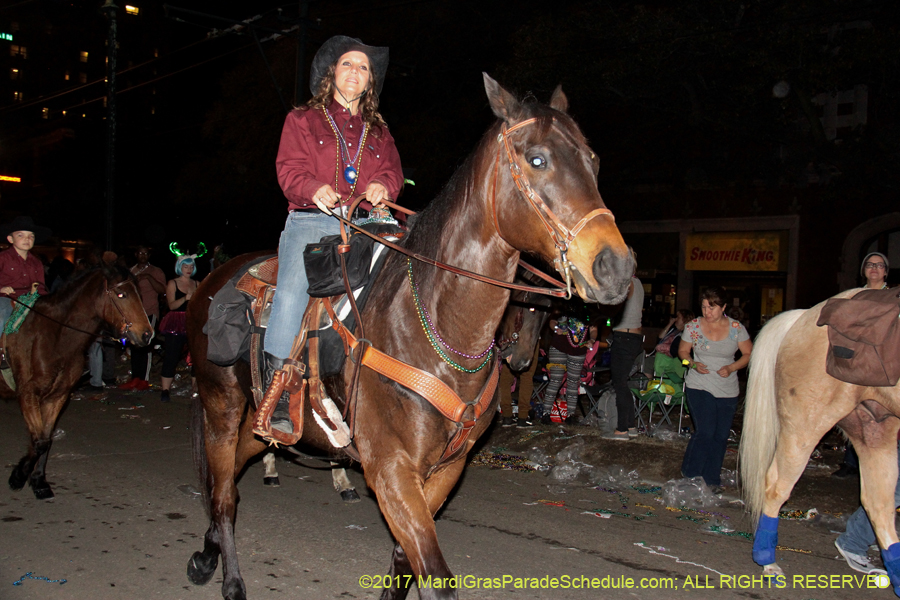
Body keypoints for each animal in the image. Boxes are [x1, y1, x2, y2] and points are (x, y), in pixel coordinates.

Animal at [3, 264, 153, 500]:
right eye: (121, 294)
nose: (147, 334)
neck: (55, 336)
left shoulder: (56, 397)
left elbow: (44, 440)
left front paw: (38, 481)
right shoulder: (27, 393)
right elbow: (40, 441)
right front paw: (18, 476)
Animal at [185, 75, 628, 600]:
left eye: (593, 160)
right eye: (537, 159)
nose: (617, 267)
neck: (439, 327)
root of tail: (213, 281)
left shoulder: (444, 471)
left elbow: (404, 560)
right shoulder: (391, 469)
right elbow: (434, 574)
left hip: (265, 424)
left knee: (233, 472)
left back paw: (208, 552)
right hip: (221, 406)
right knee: (222, 491)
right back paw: (229, 577)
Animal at [740, 288, 900, 592]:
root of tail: (803, 316)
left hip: (874, 429)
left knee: (878, 503)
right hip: (806, 423)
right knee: (776, 486)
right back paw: (766, 558)